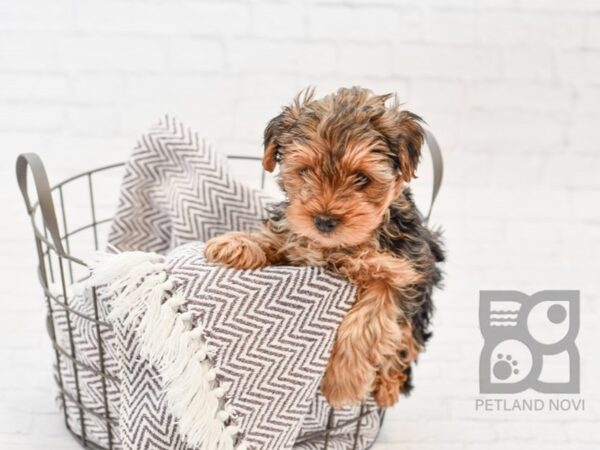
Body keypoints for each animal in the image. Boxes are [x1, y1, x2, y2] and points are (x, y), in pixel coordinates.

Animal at [204, 86, 442, 410]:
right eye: (306, 171)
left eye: (362, 178)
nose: (324, 220)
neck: (340, 247)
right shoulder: (298, 246)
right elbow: (280, 237)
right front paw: (236, 243)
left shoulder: (401, 274)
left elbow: (367, 323)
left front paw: (342, 383)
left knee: (406, 345)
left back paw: (386, 387)